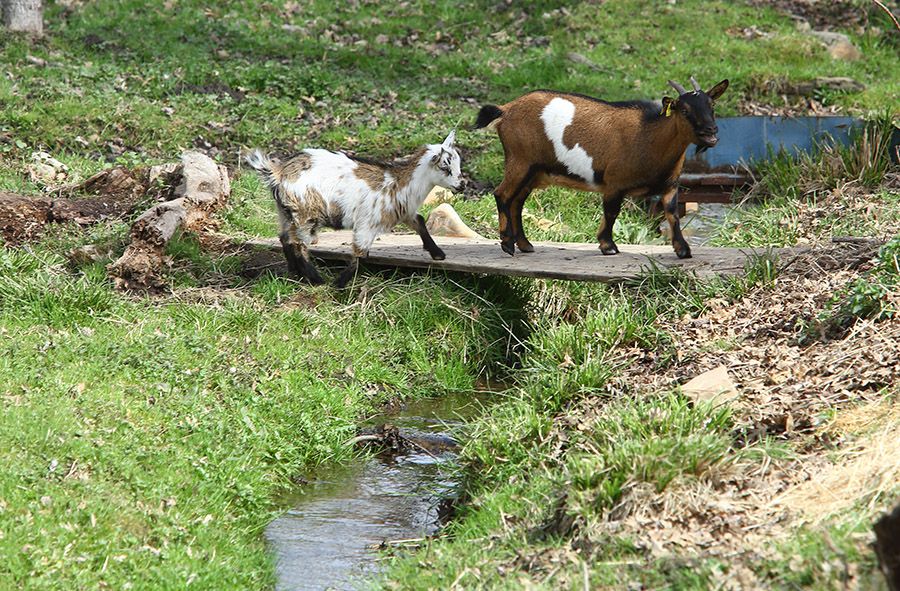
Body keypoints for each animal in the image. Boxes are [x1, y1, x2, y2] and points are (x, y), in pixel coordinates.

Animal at [246, 131, 462, 287]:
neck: (401, 183)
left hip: (285, 211)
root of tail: (278, 172)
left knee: (284, 238)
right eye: (445, 167)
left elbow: (420, 222)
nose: (462, 185)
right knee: (297, 243)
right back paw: (316, 278)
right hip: (306, 213)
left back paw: (295, 272)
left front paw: (438, 254)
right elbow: (360, 254)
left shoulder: (405, 212)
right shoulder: (367, 224)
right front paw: (340, 283)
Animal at [474, 76, 729, 258]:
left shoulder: (670, 185)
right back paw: (508, 245)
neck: (648, 135)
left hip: (534, 172)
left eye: (712, 106)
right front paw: (608, 246)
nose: (711, 132)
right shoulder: (614, 183)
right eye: (684, 110)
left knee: (516, 202)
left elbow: (673, 214)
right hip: (520, 161)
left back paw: (525, 245)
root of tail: (505, 109)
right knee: (502, 194)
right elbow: (611, 212)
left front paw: (683, 250)